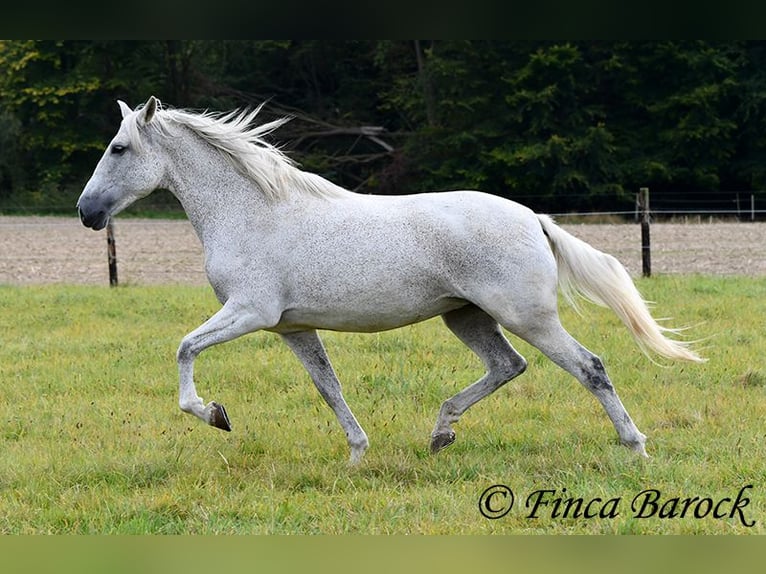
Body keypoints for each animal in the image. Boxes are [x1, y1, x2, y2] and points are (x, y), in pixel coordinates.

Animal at [75, 98, 704, 468]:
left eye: (119, 148)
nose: (86, 212)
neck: (252, 212)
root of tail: (534, 218)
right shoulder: (292, 328)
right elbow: (328, 388)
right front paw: (357, 456)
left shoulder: (250, 312)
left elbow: (185, 348)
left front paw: (214, 415)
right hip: (465, 315)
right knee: (508, 366)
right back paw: (441, 433)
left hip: (527, 317)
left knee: (589, 367)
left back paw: (636, 448)